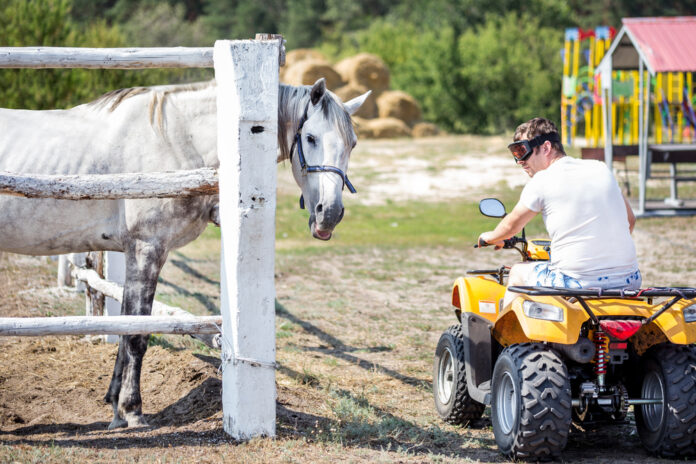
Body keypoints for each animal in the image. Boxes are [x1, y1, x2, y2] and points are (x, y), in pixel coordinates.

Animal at [0, 77, 370, 428]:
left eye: (351, 144)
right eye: (310, 138)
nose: (329, 213)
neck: (175, 141)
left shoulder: (137, 252)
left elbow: (126, 328)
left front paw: (116, 407)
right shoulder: (146, 249)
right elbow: (136, 333)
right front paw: (132, 411)